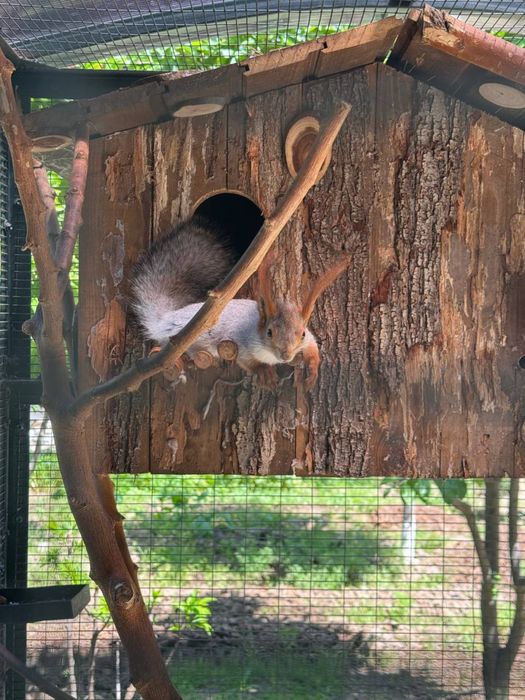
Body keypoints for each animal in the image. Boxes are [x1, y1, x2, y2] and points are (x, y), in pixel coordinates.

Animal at [131, 217, 351, 390]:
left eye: (302, 333)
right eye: (270, 332)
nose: (286, 355)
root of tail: (167, 316)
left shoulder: (308, 338)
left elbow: (313, 347)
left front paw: (313, 369)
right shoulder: (242, 342)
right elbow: (248, 362)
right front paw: (265, 373)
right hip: (177, 338)